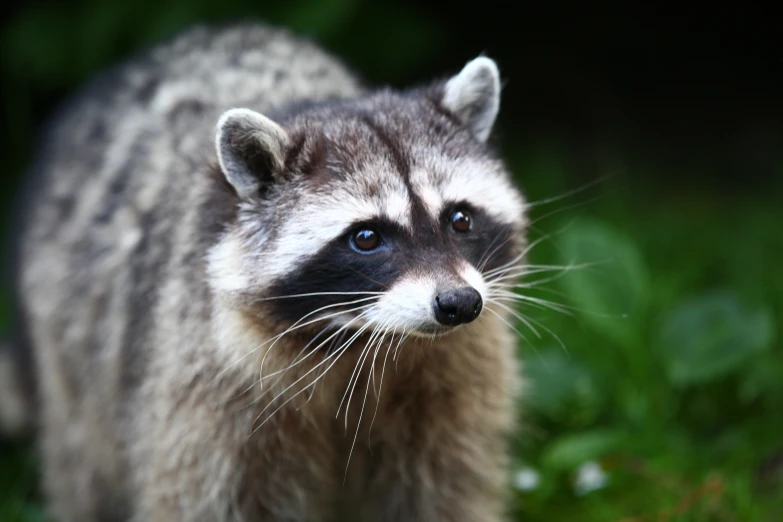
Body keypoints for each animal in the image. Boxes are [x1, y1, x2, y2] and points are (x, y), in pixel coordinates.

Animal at [4, 21, 528, 520]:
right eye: (366, 238)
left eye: (460, 220)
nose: (459, 304)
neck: (366, 341)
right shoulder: (208, 388)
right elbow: (209, 499)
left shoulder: (452, 383)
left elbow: (443, 491)